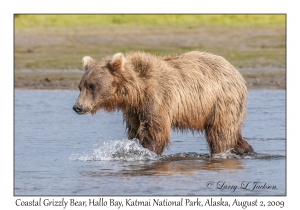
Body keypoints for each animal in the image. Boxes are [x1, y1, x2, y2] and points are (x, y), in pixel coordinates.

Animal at [72, 50, 253, 155]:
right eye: (80, 86)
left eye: (91, 86)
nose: (77, 107)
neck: (137, 91)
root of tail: (235, 71)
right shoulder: (134, 110)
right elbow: (134, 130)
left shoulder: (158, 98)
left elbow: (155, 131)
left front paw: (147, 151)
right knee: (233, 134)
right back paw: (246, 150)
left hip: (221, 101)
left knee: (220, 134)